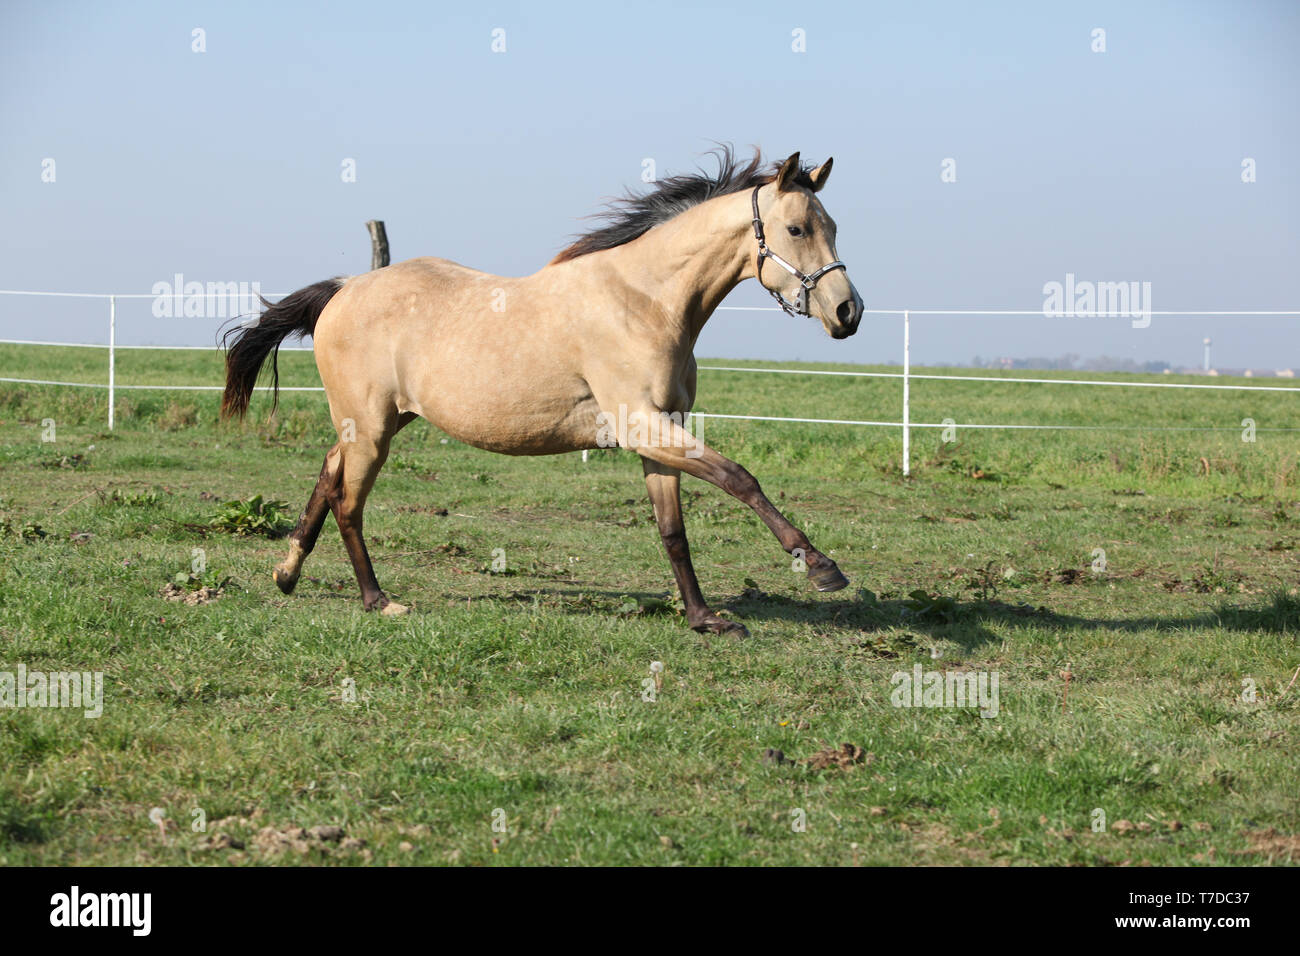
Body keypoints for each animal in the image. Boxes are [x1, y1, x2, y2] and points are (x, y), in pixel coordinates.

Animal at [223, 147, 863, 634]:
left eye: (833, 227)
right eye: (797, 228)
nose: (847, 312)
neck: (646, 301)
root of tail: (344, 288)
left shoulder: (660, 434)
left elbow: (673, 532)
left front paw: (705, 619)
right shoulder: (641, 426)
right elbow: (740, 478)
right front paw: (821, 567)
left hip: (379, 421)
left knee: (326, 477)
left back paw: (287, 573)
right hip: (373, 429)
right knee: (348, 503)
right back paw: (377, 600)